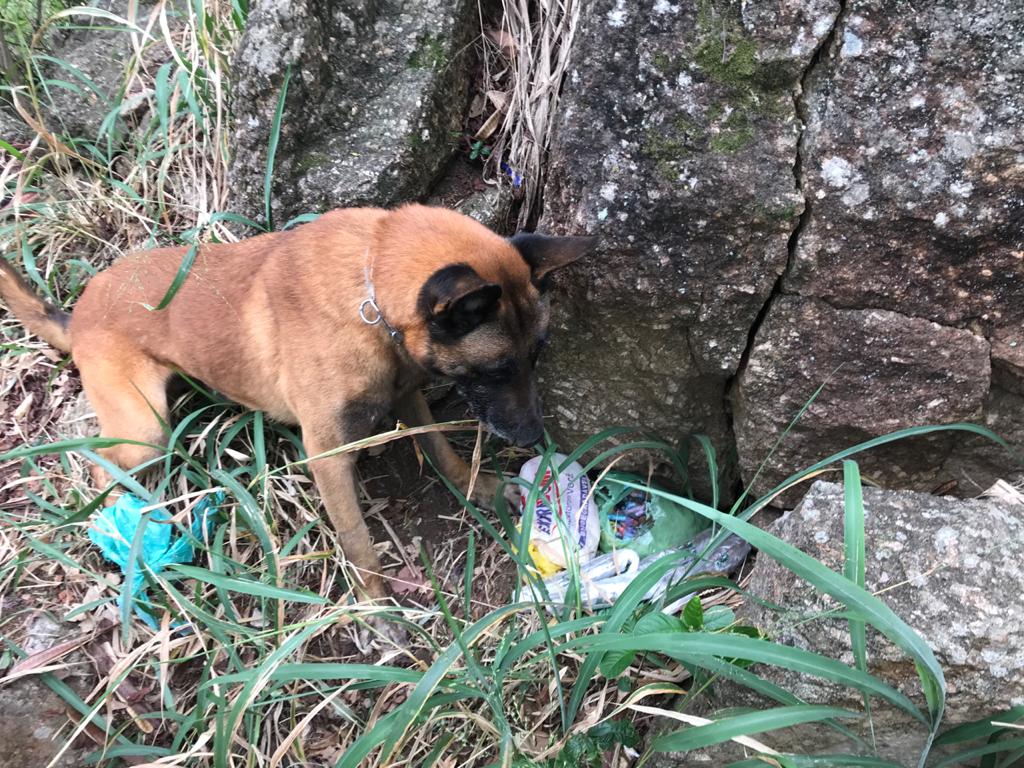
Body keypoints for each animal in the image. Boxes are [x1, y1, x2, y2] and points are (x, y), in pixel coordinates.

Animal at [2, 208, 593, 626]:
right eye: (497, 368)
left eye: (537, 354)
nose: (533, 436)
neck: (368, 290)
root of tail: (77, 312)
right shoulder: (327, 453)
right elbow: (357, 540)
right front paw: (377, 607)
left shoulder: (407, 392)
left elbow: (442, 451)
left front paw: (482, 488)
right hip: (145, 429)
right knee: (99, 466)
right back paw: (124, 535)